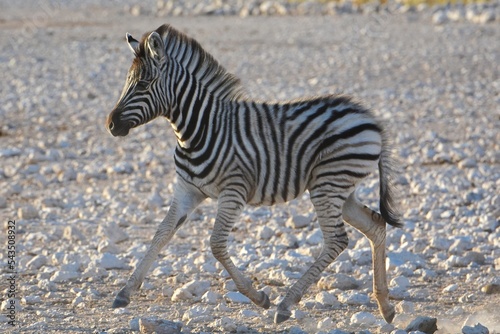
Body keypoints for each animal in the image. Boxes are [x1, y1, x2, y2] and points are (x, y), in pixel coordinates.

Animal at [105, 24, 402, 324]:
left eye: (143, 84)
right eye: (128, 83)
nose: (110, 125)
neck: (199, 130)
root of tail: (370, 118)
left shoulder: (233, 191)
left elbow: (216, 244)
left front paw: (258, 297)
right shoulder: (187, 190)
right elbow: (161, 233)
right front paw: (125, 292)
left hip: (328, 184)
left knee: (336, 240)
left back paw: (287, 304)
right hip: (341, 190)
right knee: (376, 225)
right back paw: (385, 306)